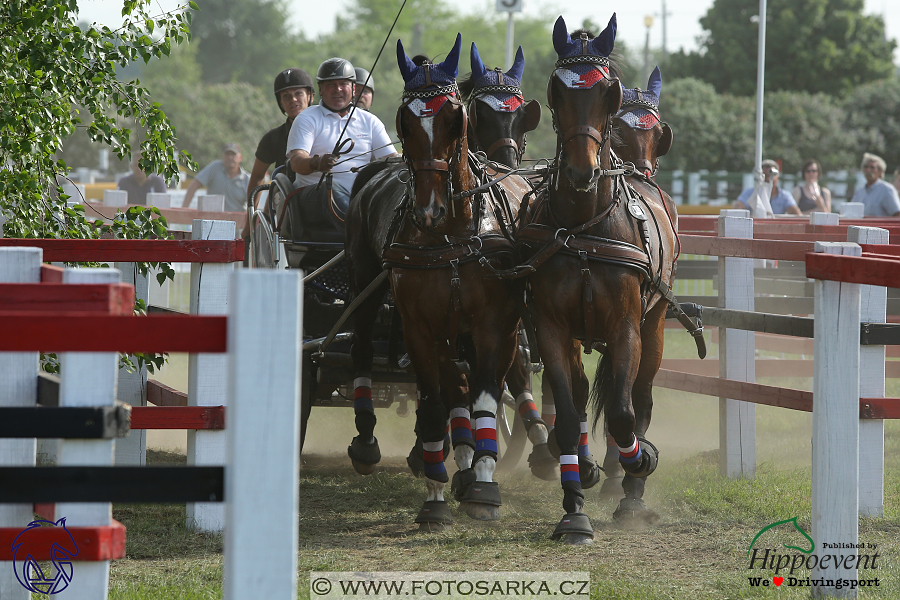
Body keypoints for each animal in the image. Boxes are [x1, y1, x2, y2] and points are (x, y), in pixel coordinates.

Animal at [342, 35, 528, 528]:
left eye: (454, 118)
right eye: (405, 121)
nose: (428, 210)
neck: (453, 234)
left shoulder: (493, 325)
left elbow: (484, 399)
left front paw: (482, 484)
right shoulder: (420, 327)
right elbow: (431, 405)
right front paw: (435, 496)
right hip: (365, 283)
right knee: (361, 346)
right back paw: (366, 441)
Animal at [516, 12, 684, 540]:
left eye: (607, 92)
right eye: (557, 91)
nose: (580, 171)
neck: (585, 227)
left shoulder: (626, 326)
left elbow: (625, 413)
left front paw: (636, 465)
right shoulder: (551, 327)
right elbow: (569, 417)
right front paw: (574, 507)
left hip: (654, 324)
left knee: (638, 398)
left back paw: (629, 488)